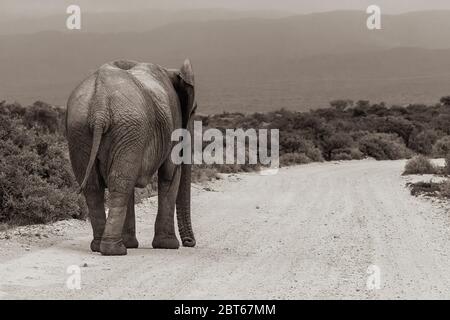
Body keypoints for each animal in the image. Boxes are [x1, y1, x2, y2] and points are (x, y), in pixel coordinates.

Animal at [65, 58, 197, 256]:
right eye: (194, 111)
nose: (189, 242)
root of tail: (99, 106)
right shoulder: (173, 119)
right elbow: (170, 174)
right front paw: (168, 245)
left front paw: (132, 243)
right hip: (125, 127)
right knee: (120, 183)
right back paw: (115, 250)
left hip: (81, 129)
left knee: (96, 186)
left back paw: (99, 246)